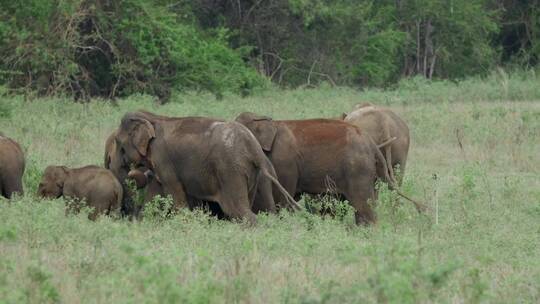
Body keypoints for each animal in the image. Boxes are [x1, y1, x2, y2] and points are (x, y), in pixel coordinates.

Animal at [112, 110, 298, 224]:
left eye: (117, 142)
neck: (152, 117)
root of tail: (254, 147)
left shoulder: (163, 159)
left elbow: (177, 197)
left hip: (230, 170)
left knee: (238, 210)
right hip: (250, 172)